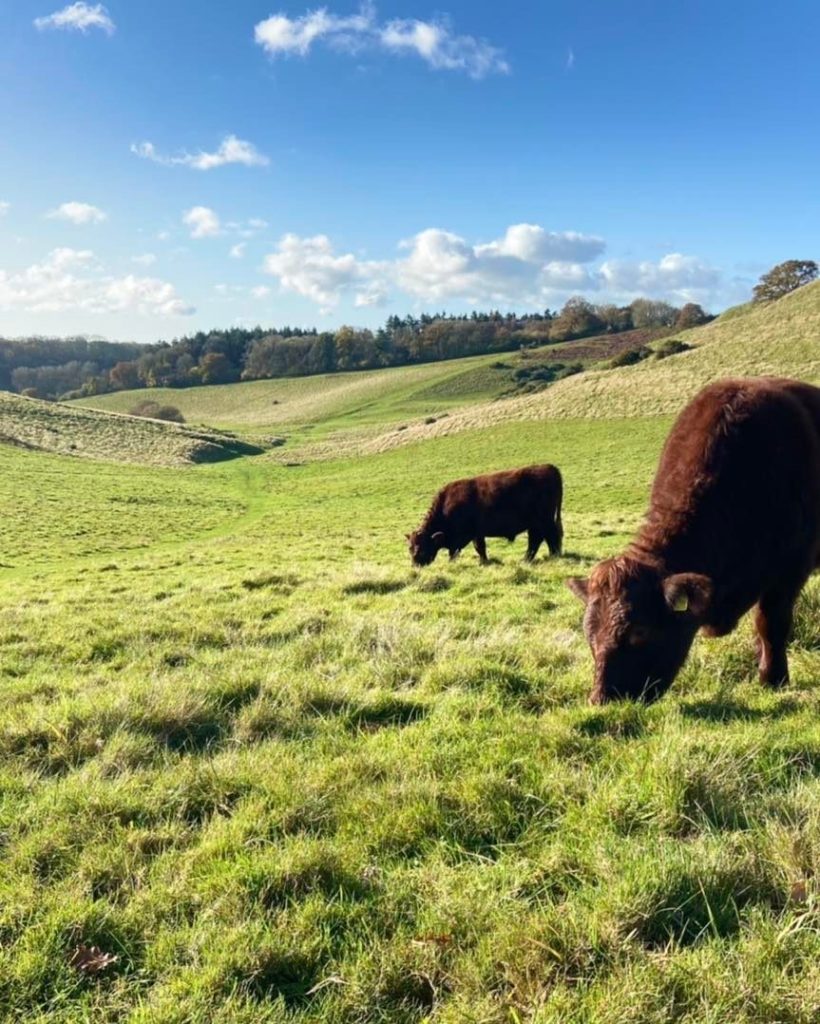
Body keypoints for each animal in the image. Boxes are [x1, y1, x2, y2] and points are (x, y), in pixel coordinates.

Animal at [407, 464, 563, 567]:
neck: (445, 505)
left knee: (547, 537)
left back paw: (547, 557)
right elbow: (480, 548)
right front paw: (484, 561)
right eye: (410, 548)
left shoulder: (468, 534)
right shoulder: (477, 534)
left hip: (543, 521)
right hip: (536, 524)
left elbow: (462, 550)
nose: (416, 566)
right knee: (540, 539)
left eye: (421, 548)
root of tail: (550, 468)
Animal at [567, 377, 820, 704]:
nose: (601, 699)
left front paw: (772, 679)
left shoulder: (789, 573)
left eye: (640, 631)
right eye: (590, 635)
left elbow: (770, 624)